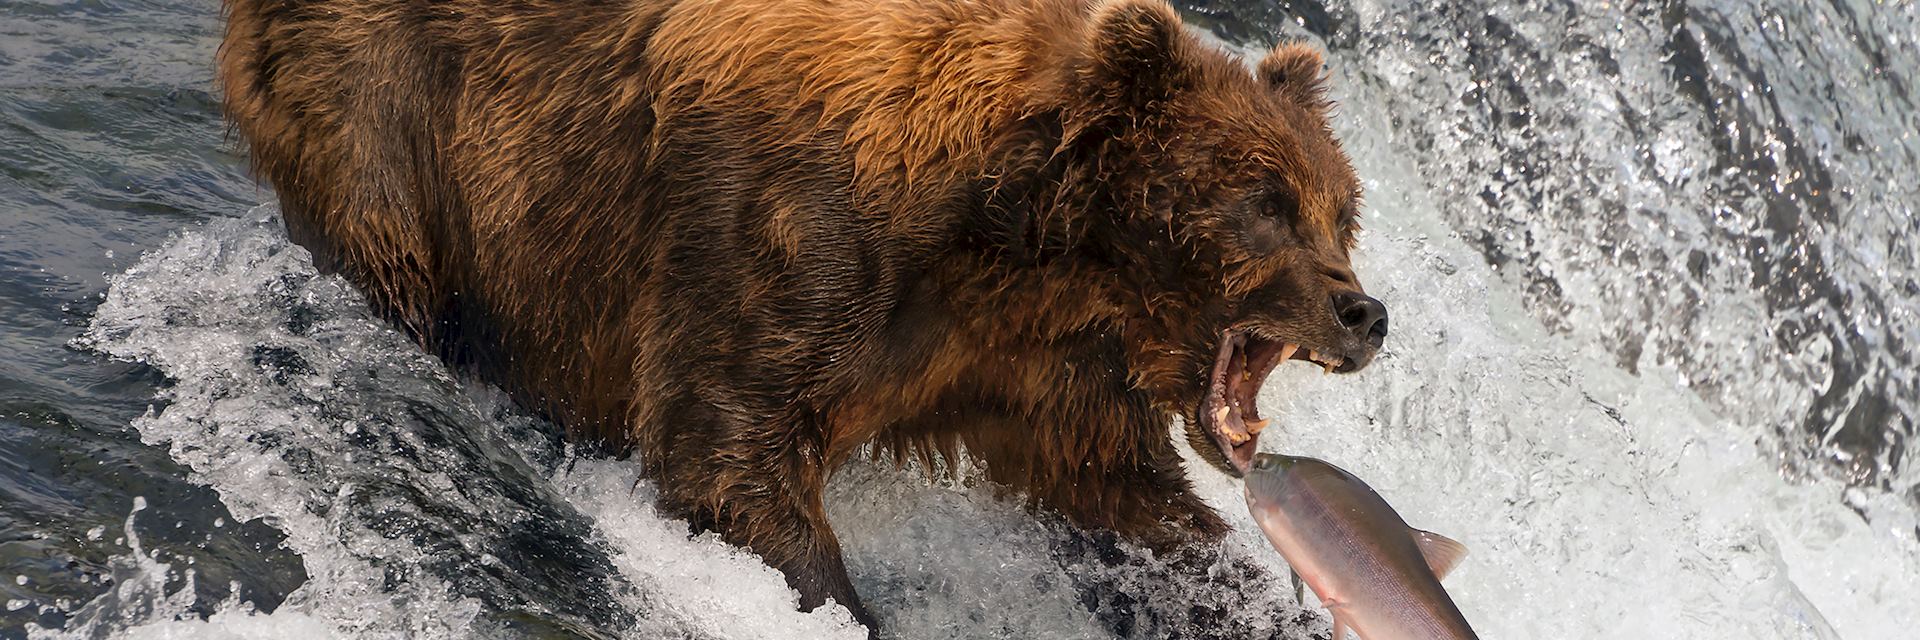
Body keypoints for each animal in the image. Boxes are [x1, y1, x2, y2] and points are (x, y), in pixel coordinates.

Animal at [217, 0, 1382, 630]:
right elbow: (730, 446)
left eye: (1341, 207)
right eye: (1265, 200)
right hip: (394, 118)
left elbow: (1126, 500)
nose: (1364, 310)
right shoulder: (791, 234)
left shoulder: (1032, 361)